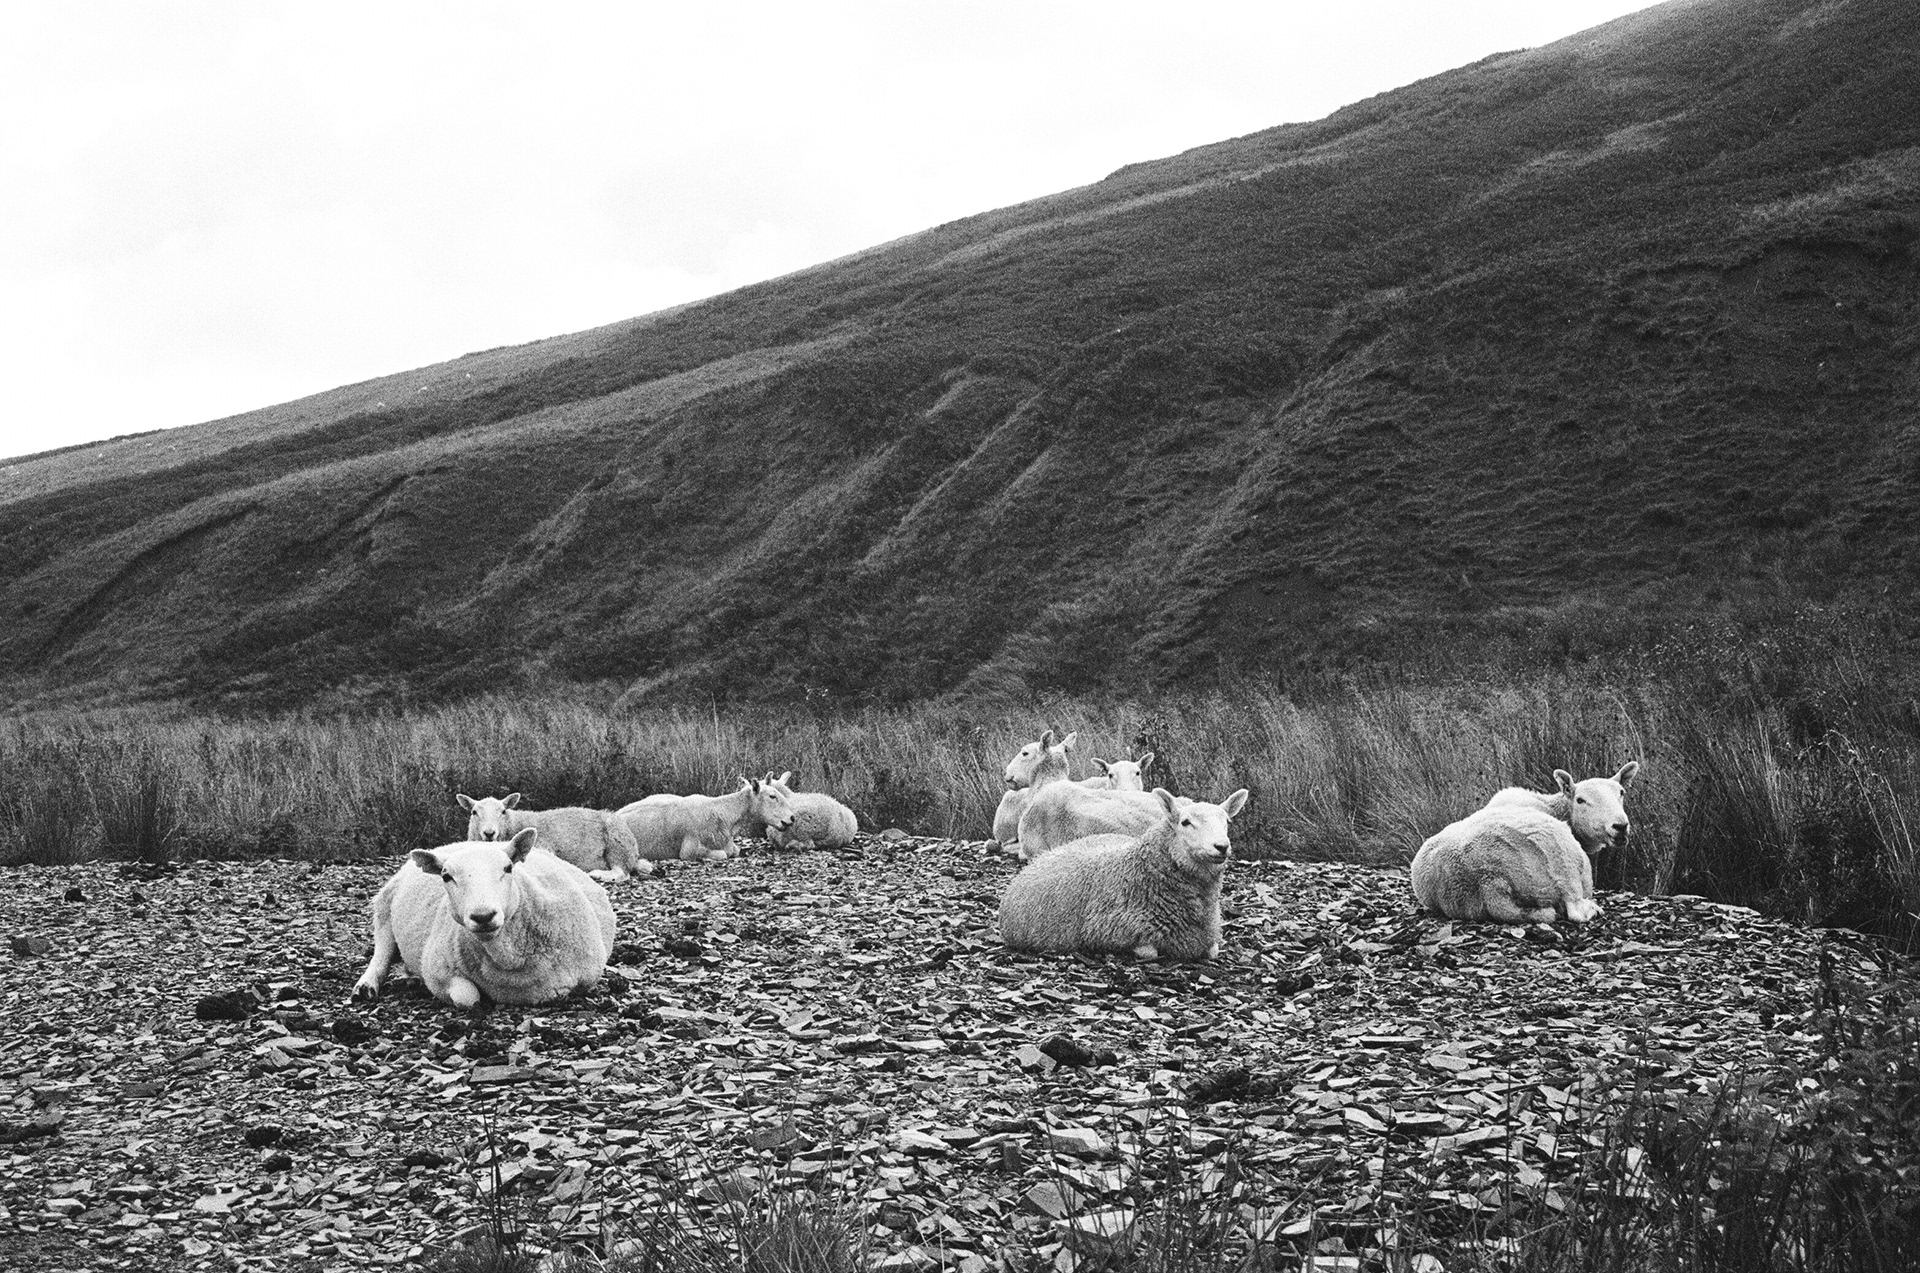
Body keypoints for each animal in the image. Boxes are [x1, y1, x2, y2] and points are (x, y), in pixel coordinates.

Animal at [351, 829, 616, 1007]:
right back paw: (366, 987)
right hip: (384, 908)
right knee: (381, 954)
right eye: (446, 876)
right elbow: (468, 998)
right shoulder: (437, 971)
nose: (483, 916)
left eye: (508, 868)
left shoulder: (590, 975)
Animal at [456, 792, 649, 882]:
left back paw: (599, 874)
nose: (489, 833)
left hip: (617, 843)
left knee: (622, 871)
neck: (513, 824)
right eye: (474, 812)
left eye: (503, 811)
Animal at [999, 786, 1250, 960]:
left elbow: (1213, 951)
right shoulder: (1114, 932)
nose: (1221, 846)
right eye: (1185, 822)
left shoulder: (1210, 936)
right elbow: (1150, 953)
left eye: (1226, 822)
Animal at [1409, 762, 1640, 925]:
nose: (1620, 826)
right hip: (1562, 864)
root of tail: (1488, 881)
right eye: (1580, 800)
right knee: (1576, 910)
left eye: (1621, 793)